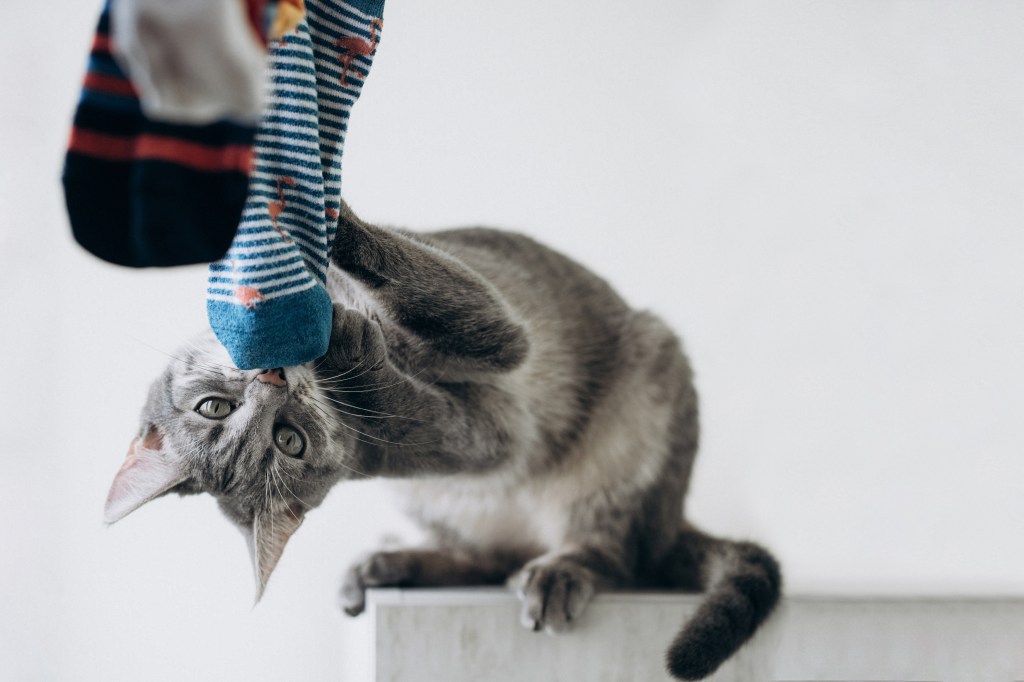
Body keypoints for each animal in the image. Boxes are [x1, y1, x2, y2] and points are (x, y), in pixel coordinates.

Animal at [105, 201, 774, 679]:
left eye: (212, 408)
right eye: (290, 441)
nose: (274, 382)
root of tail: (673, 517)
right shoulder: (487, 425)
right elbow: (426, 364)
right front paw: (353, 343)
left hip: (643, 385)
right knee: (583, 558)